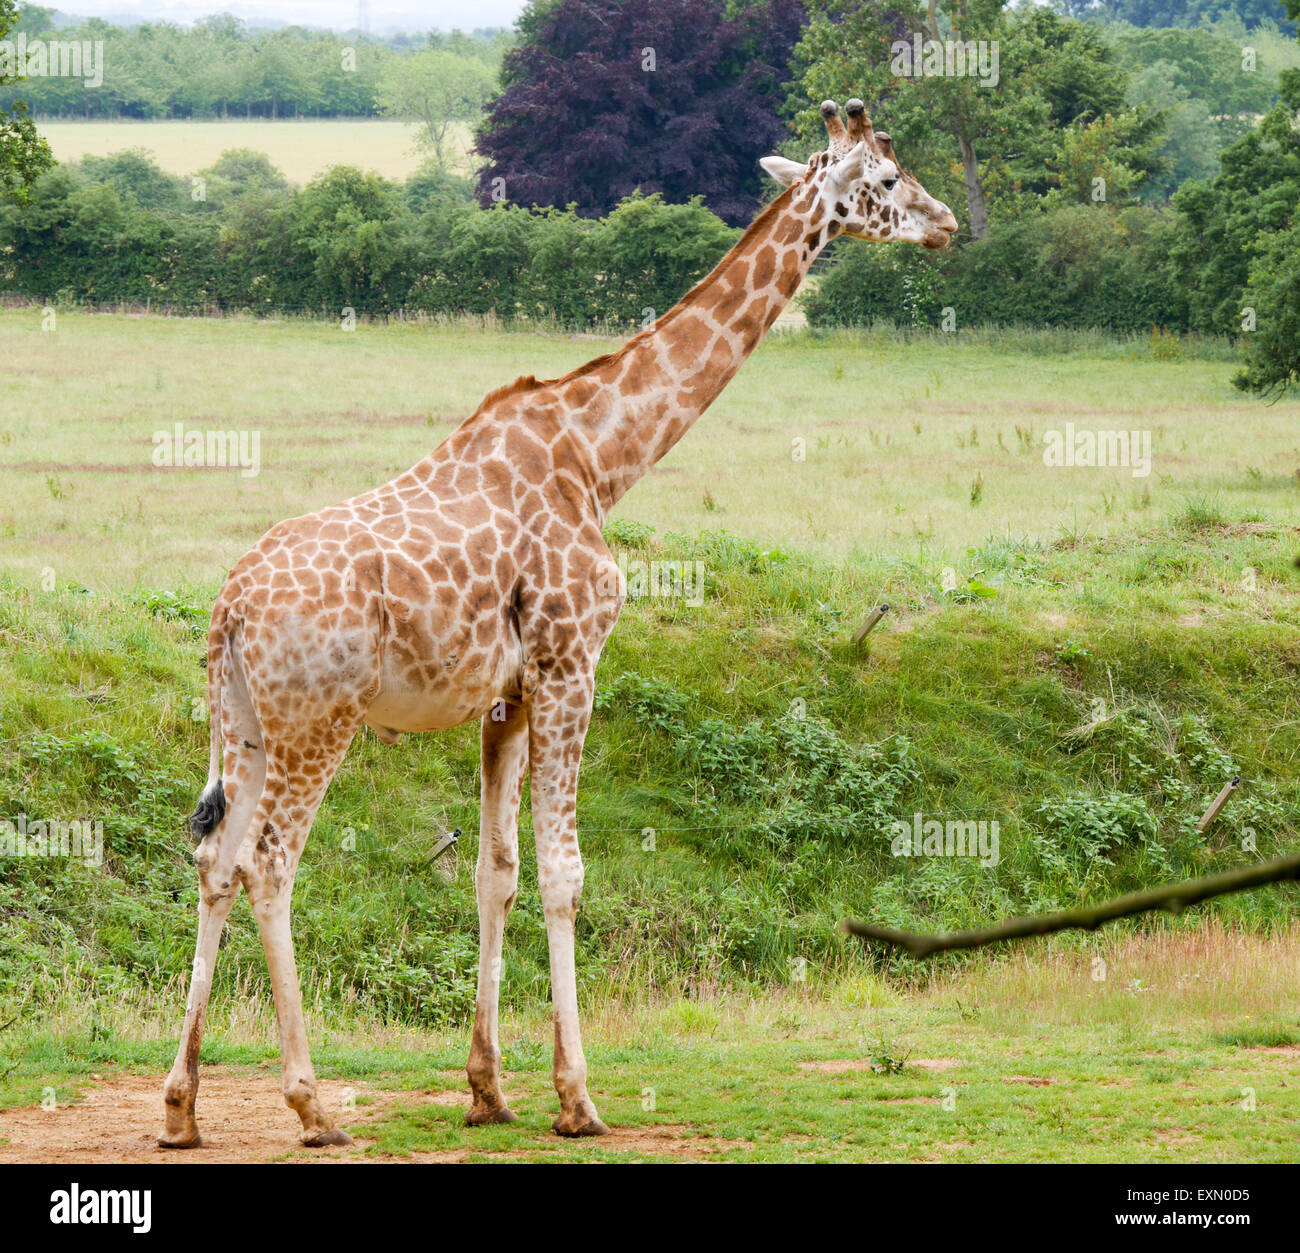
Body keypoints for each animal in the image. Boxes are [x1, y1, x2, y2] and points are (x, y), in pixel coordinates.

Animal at [159, 98, 957, 1148]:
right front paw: (578, 1096)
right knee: (269, 863)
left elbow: (495, 869)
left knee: (215, 857)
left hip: (246, 722)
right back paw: (311, 1101)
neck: (600, 454)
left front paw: (487, 1088)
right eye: (890, 178)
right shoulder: (573, 661)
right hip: (317, 720)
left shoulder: (507, 695)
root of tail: (229, 606)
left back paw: (181, 1105)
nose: (949, 224)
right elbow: (564, 872)